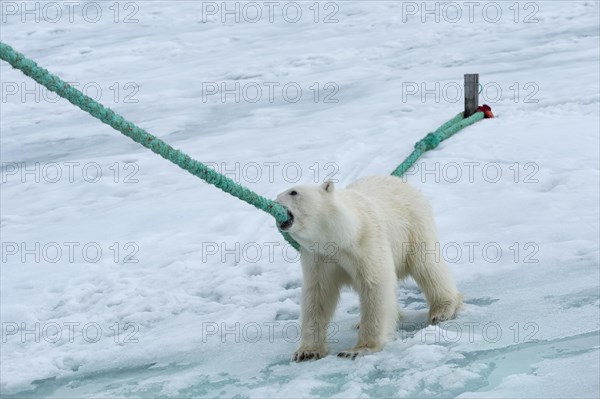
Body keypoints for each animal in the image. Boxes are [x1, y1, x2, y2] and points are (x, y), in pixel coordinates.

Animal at [274, 177, 462, 360]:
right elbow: (317, 295)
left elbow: (375, 285)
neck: (340, 235)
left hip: (414, 226)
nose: (274, 200)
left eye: (293, 192)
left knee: (427, 266)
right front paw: (307, 352)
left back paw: (442, 309)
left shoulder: (365, 242)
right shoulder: (318, 257)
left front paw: (357, 349)